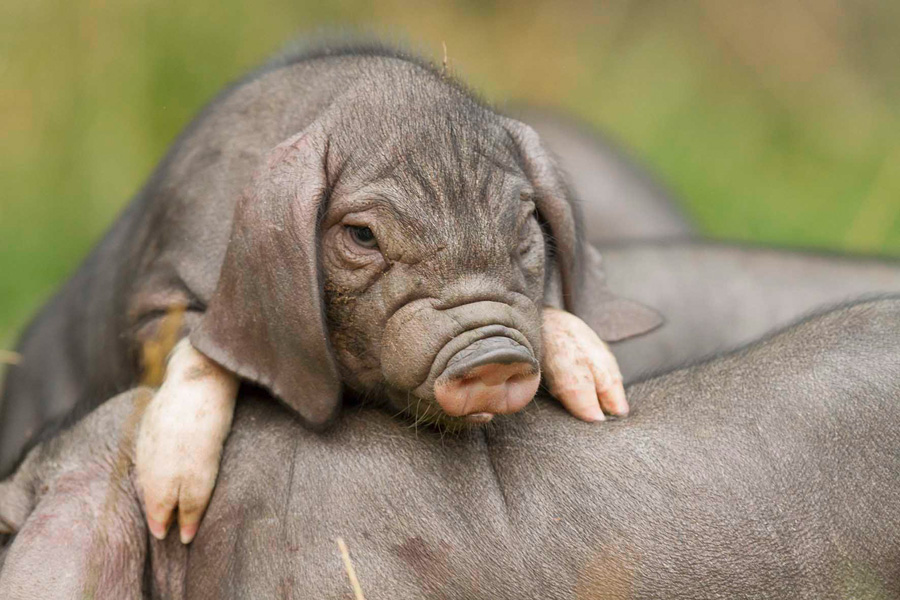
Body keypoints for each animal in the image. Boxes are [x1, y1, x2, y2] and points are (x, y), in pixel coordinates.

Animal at [0, 43, 660, 544]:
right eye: (362, 235)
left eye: (525, 220)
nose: (494, 352)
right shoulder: (154, 293)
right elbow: (197, 347)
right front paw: (175, 514)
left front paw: (602, 399)